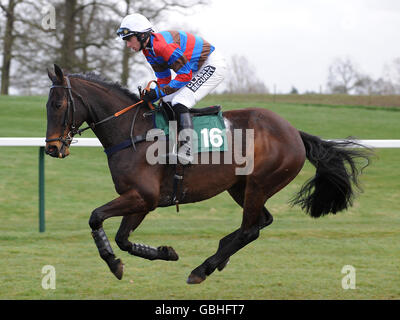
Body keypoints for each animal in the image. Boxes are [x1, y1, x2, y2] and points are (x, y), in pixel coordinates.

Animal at [45, 63, 370, 284]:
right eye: (47, 105)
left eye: (58, 104)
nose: (52, 148)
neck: (133, 132)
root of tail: (294, 132)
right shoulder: (140, 199)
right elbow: (123, 238)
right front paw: (166, 252)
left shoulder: (143, 197)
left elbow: (96, 217)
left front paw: (113, 262)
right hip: (241, 187)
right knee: (260, 222)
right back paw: (220, 254)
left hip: (259, 184)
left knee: (251, 229)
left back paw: (203, 268)